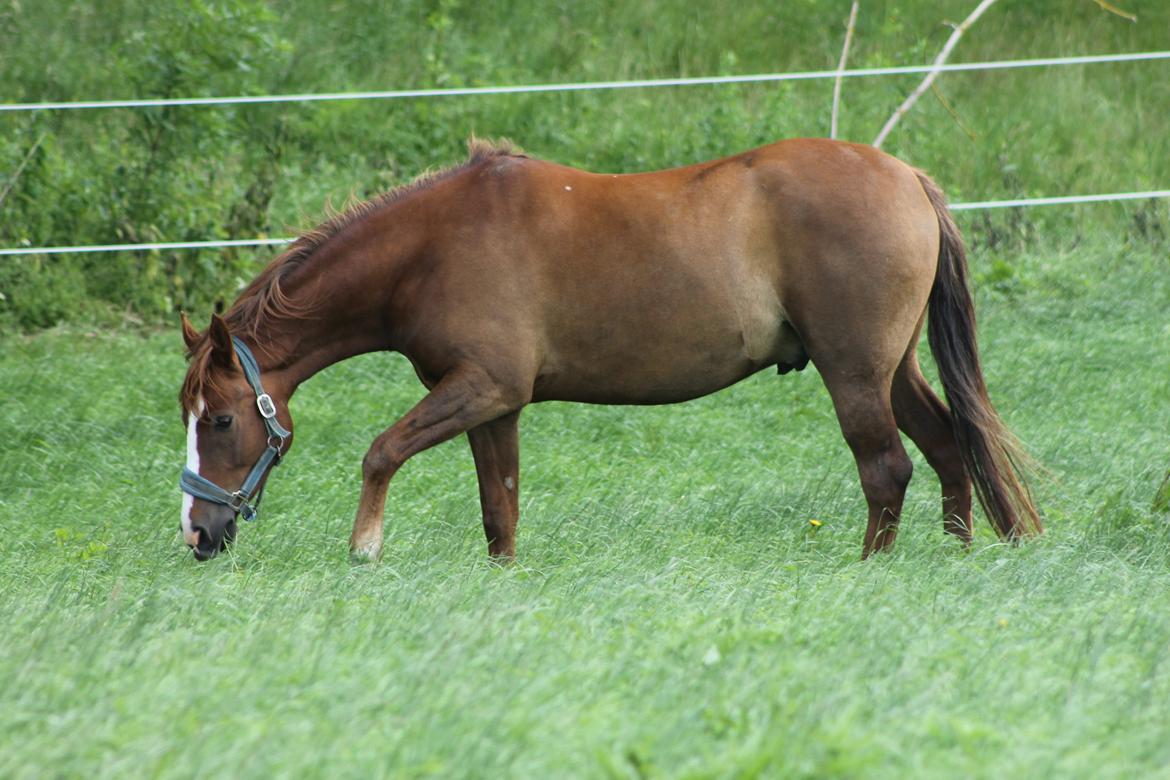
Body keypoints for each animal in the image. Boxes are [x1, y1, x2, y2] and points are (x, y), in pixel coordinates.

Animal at [175, 138, 1043, 561]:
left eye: (219, 420)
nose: (196, 532)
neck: (434, 246)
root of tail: (908, 177)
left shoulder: (481, 387)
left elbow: (381, 451)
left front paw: (365, 547)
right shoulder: (495, 405)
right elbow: (500, 510)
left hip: (854, 372)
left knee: (887, 468)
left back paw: (871, 571)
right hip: (893, 369)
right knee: (947, 447)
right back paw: (955, 557)